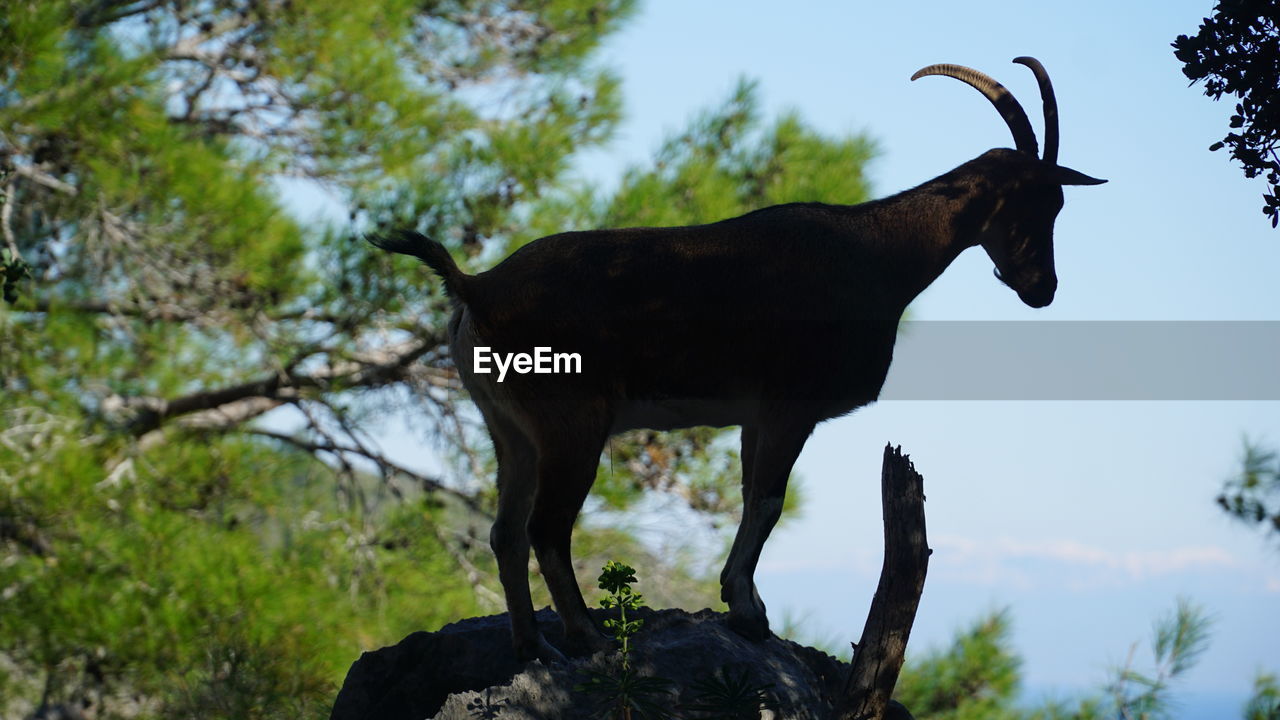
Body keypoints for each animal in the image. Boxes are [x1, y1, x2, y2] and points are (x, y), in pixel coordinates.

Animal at [371, 57, 1100, 661]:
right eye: (1039, 200)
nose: (1042, 288)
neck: (877, 254)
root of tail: (474, 288)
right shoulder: (788, 407)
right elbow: (770, 502)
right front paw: (748, 613)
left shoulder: (756, 416)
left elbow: (752, 499)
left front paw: (744, 604)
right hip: (570, 422)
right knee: (547, 528)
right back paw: (587, 638)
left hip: (510, 429)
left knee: (505, 533)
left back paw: (533, 647)